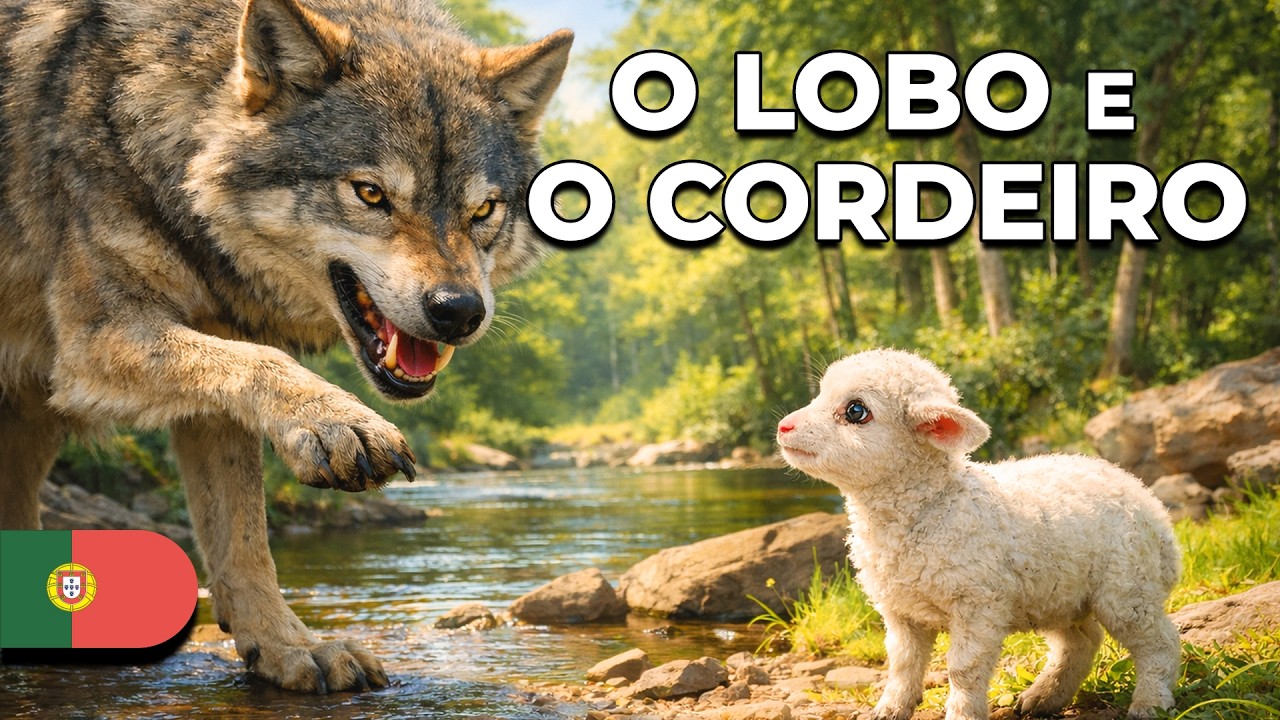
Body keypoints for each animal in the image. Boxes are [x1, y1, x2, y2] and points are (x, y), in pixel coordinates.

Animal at [0, 0, 571, 692]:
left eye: (483, 210)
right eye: (371, 193)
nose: (459, 311)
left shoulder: (214, 364)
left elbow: (244, 537)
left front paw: (287, 648)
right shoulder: (97, 337)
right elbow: (269, 366)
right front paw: (337, 423)